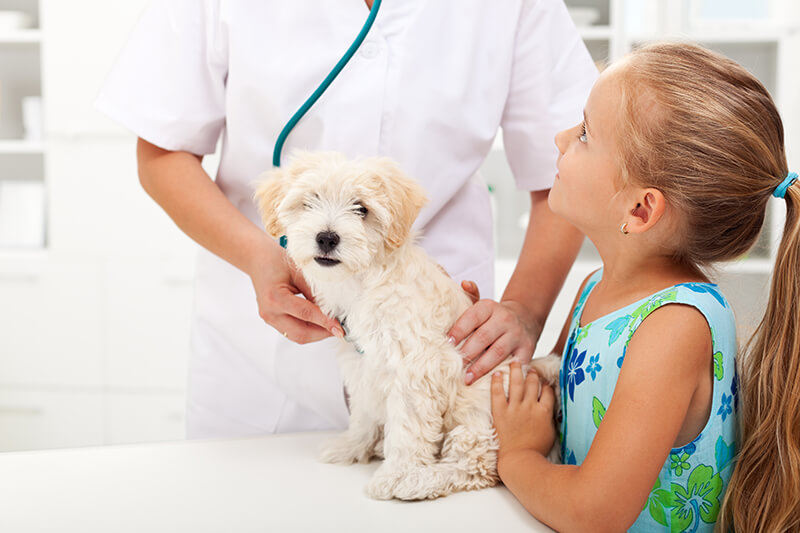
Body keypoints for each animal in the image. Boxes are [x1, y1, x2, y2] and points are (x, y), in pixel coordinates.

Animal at [256, 152, 520, 500]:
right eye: (310, 200)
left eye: (361, 208)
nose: (326, 237)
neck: (365, 282)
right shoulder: (361, 364)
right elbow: (363, 413)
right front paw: (352, 446)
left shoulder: (414, 369)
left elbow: (408, 429)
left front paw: (397, 474)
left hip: (475, 414)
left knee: (476, 464)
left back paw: (419, 481)